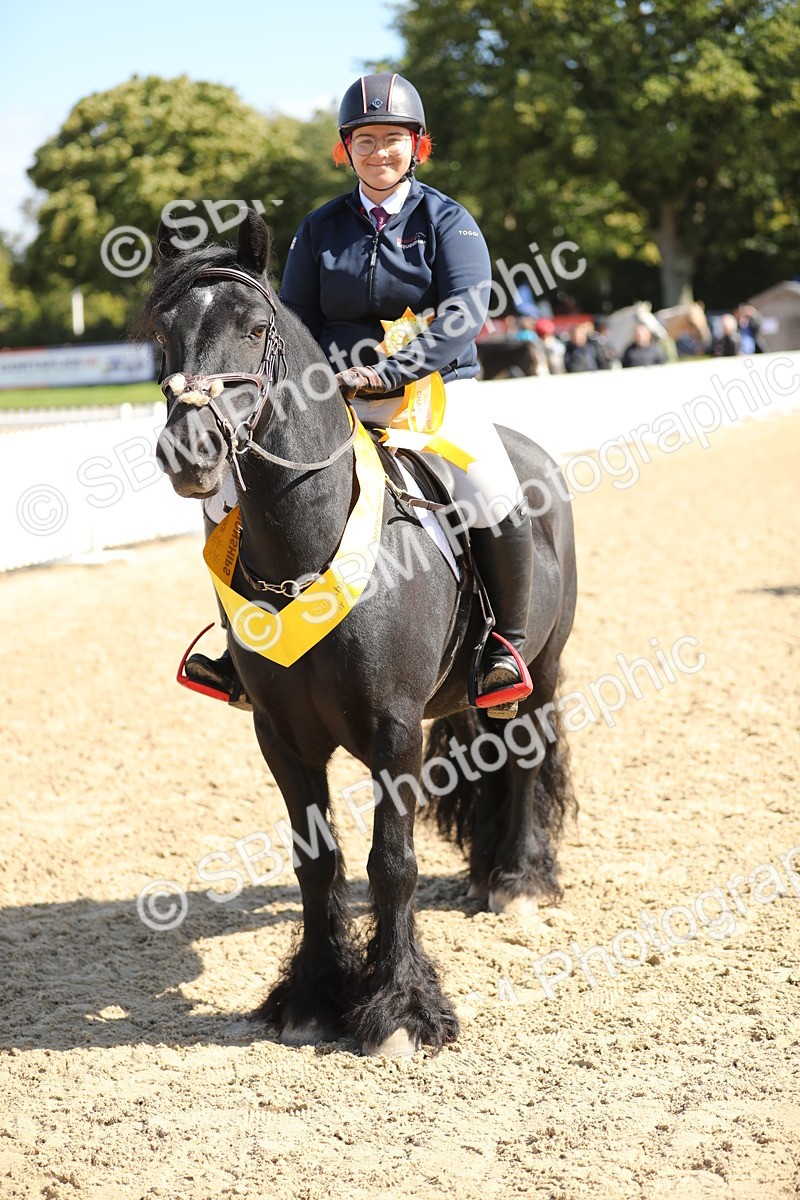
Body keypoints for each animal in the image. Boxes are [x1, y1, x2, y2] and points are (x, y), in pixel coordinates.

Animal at [144, 210, 577, 1055]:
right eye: (163, 334)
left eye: (254, 329)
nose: (189, 451)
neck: (306, 545)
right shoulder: (281, 737)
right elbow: (319, 863)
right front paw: (313, 997)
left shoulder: (394, 729)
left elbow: (391, 862)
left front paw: (401, 1009)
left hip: (540, 666)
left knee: (526, 755)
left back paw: (518, 879)